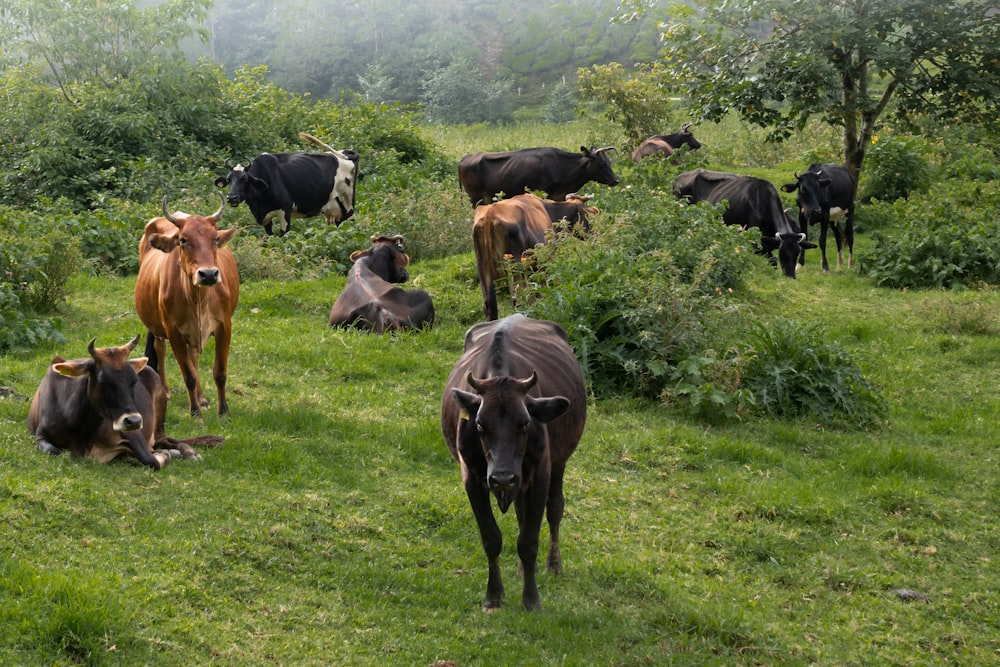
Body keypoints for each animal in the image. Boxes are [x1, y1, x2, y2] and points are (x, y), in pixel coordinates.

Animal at [27, 340, 223, 470]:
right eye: (103, 380)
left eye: (133, 381)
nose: (134, 420)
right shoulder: (40, 436)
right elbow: (54, 451)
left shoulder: (133, 434)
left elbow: (151, 460)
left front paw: (165, 455)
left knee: (167, 440)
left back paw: (190, 453)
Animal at [215, 132, 360, 235]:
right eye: (228, 180)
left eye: (244, 179)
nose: (231, 197)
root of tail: (346, 153)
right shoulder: (264, 217)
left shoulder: (285, 208)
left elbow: (283, 235)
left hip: (348, 204)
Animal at [442, 314, 588, 612]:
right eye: (479, 425)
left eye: (525, 424)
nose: (502, 478)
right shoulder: (472, 479)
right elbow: (491, 537)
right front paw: (494, 595)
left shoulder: (540, 474)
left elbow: (529, 540)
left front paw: (531, 599)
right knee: (522, 513)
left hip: (558, 461)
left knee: (555, 508)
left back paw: (553, 565)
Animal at [458, 145, 616, 206]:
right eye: (601, 164)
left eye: (609, 162)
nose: (616, 180)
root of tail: (464, 158)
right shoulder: (544, 193)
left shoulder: (559, 196)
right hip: (475, 197)